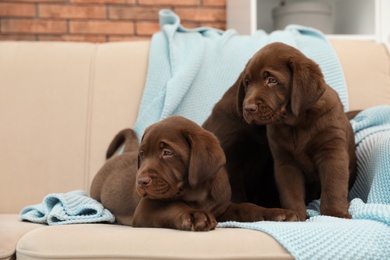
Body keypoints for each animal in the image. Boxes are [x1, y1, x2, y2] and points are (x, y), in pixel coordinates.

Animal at [91, 116, 298, 232]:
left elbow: (247, 207)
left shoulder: (222, 208)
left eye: (167, 153)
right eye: (142, 154)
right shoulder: (146, 208)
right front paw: (194, 215)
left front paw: (277, 213)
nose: (141, 181)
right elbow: (173, 206)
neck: (197, 193)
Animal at [238, 42, 356, 219]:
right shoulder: (285, 162)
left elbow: (333, 187)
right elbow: (290, 193)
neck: (297, 124)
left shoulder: (332, 152)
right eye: (247, 82)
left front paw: (335, 214)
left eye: (272, 80)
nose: (248, 108)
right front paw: (295, 216)